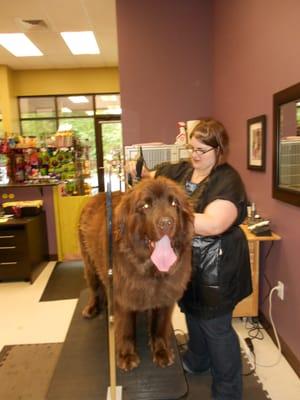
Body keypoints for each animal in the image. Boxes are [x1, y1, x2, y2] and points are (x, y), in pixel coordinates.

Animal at [78, 178, 193, 372]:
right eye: (145, 205)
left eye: (174, 203)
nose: (166, 223)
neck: (150, 269)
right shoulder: (123, 295)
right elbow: (126, 329)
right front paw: (127, 355)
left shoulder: (166, 295)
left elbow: (159, 326)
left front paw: (161, 352)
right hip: (90, 263)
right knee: (94, 288)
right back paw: (91, 308)